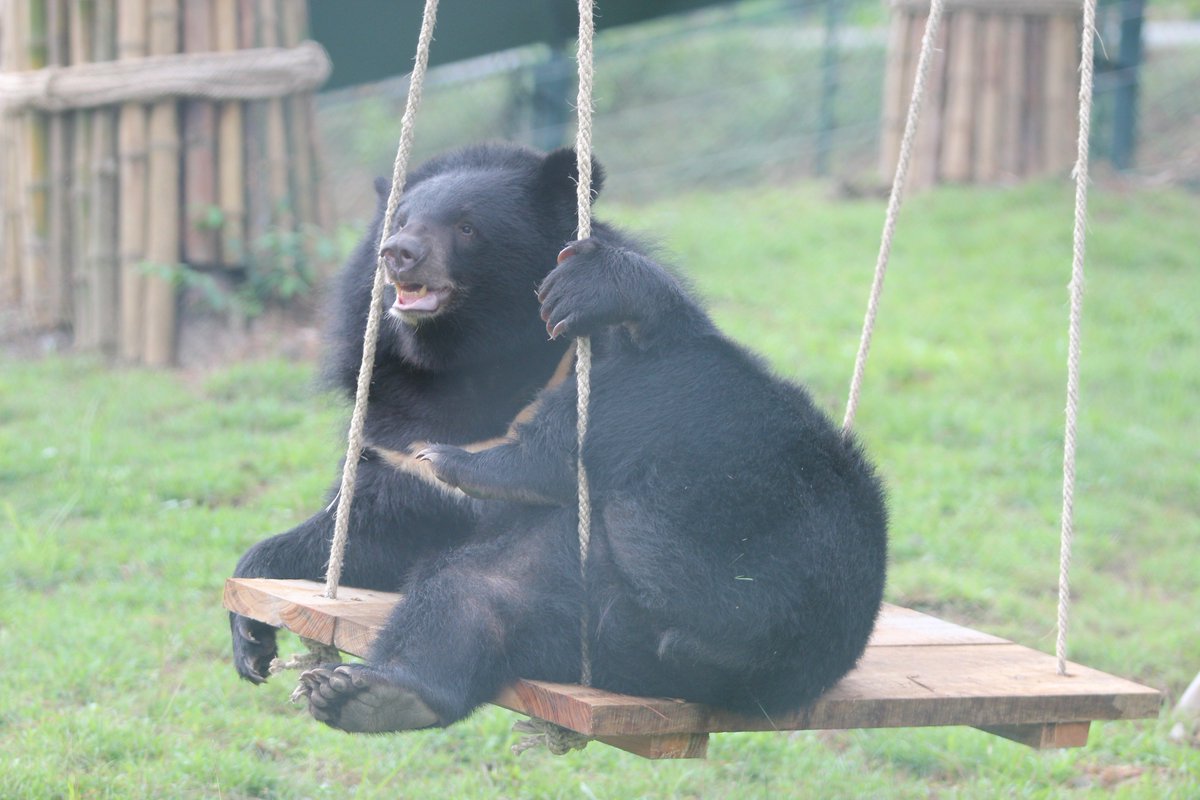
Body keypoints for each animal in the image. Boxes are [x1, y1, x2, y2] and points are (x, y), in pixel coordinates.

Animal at [229, 144, 592, 683]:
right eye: (399, 221)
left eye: (466, 227)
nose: (397, 253)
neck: (456, 360)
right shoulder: (393, 444)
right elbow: (366, 532)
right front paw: (250, 635)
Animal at [293, 197, 889, 733]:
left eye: (466, 229)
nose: (398, 256)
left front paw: (591, 285)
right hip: (605, 630)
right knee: (474, 591)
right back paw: (373, 696)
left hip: (747, 506)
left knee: (668, 392)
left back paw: (475, 465)